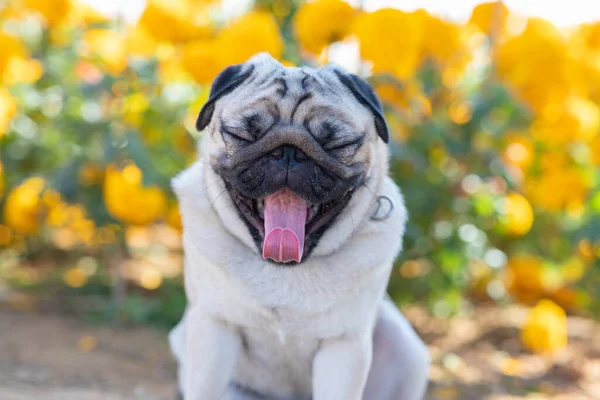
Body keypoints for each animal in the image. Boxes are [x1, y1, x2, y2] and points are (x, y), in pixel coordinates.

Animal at [169, 54, 432, 400]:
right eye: (242, 136)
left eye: (337, 144)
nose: (289, 152)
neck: (284, 268)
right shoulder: (213, 328)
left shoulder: (344, 346)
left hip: (404, 347)